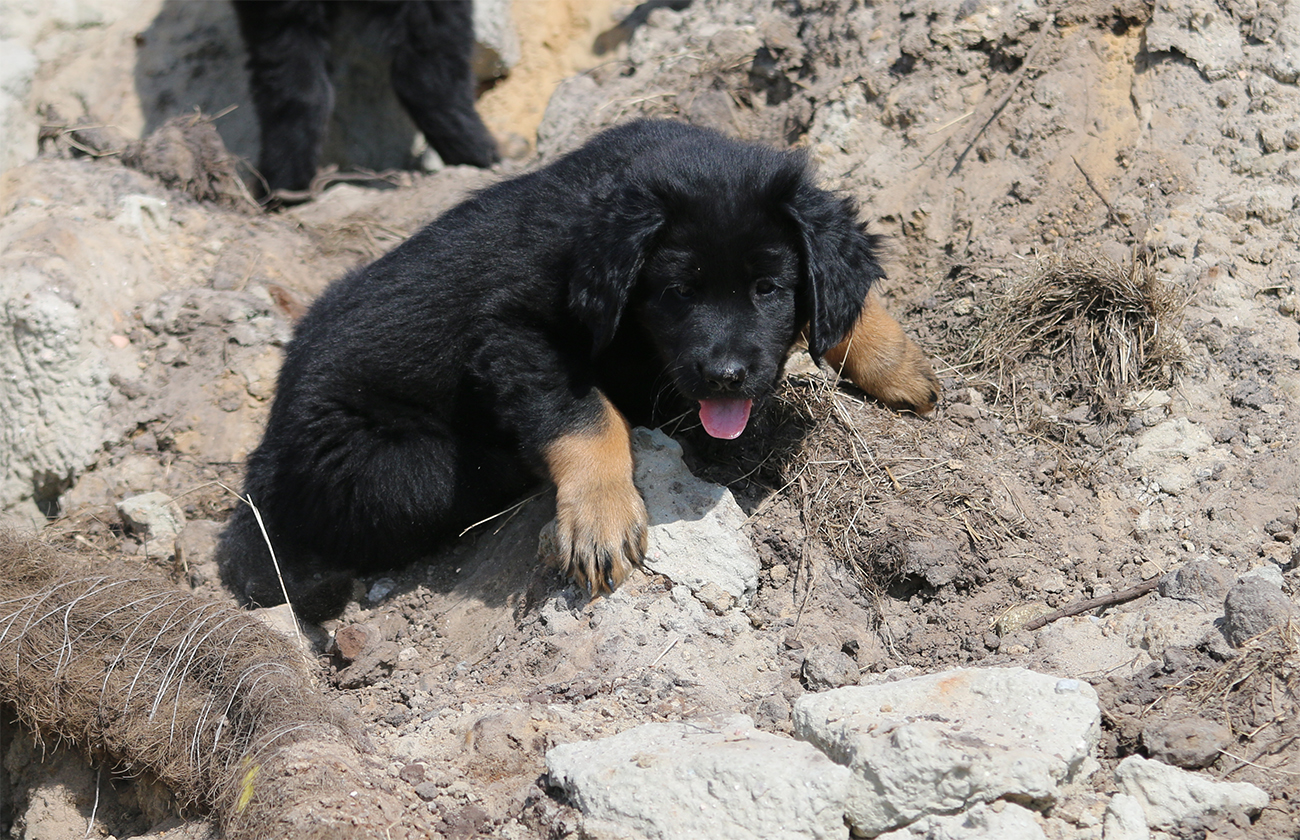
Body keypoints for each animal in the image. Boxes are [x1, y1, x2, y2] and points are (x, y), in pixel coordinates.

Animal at [218, 120, 939, 622]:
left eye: (769, 288)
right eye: (677, 293)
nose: (726, 376)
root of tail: (265, 450)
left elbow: (850, 298)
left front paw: (898, 362)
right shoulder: (513, 333)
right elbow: (587, 415)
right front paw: (600, 512)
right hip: (393, 469)